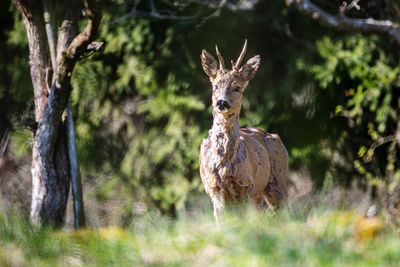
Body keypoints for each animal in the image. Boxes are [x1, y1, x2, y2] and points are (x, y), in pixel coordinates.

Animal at [199, 40, 288, 224]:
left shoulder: (246, 184)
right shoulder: (214, 188)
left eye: (237, 88)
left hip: (278, 179)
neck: (226, 166)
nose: (221, 102)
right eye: (215, 85)